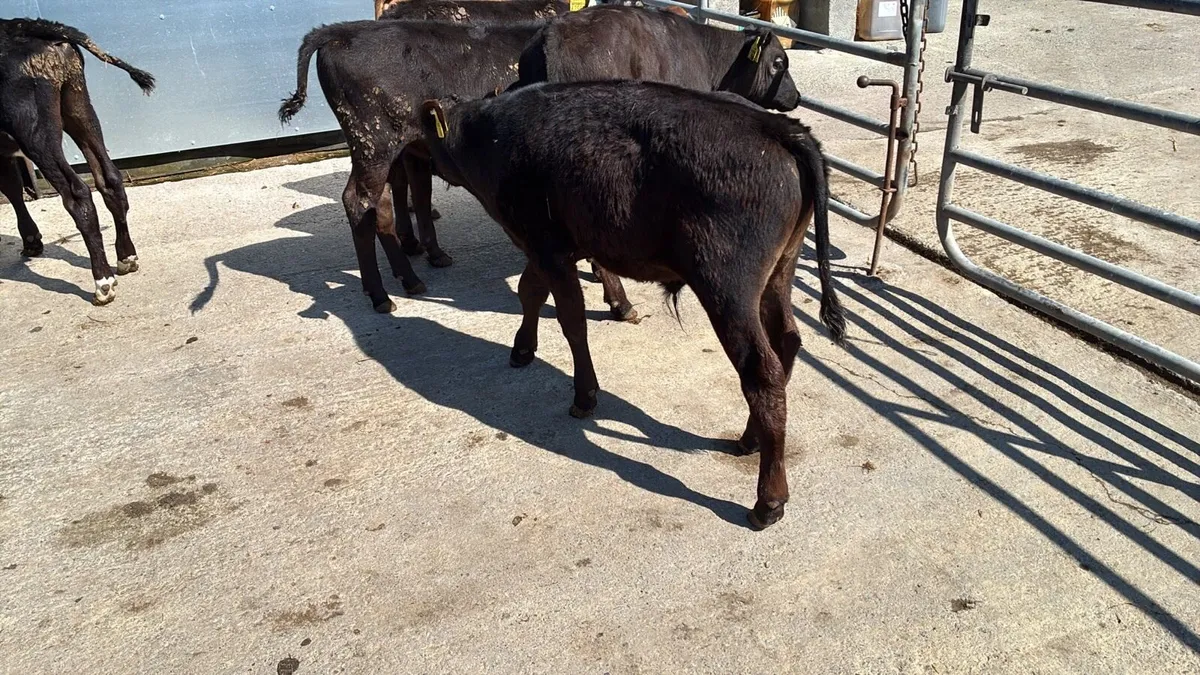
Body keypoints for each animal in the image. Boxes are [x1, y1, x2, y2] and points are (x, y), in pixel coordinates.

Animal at [0, 18, 154, 305]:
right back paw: (126, 258)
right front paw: (31, 240)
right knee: (110, 179)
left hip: (33, 129)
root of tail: (26, 25)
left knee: (77, 194)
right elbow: (12, 187)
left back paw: (103, 282)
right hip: (79, 107)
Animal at [417, 80, 846, 529]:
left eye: (424, 134)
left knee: (761, 371)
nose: (422, 162)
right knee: (787, 342)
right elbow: (528, 290)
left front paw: (584, 396)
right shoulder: (546, 250)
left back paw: (767, 501)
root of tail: (779, 127)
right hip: (778, 275)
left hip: (728, 290)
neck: (488, 133)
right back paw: (749, 440)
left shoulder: (549, 249)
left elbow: (571, 321)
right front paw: (522, 349)